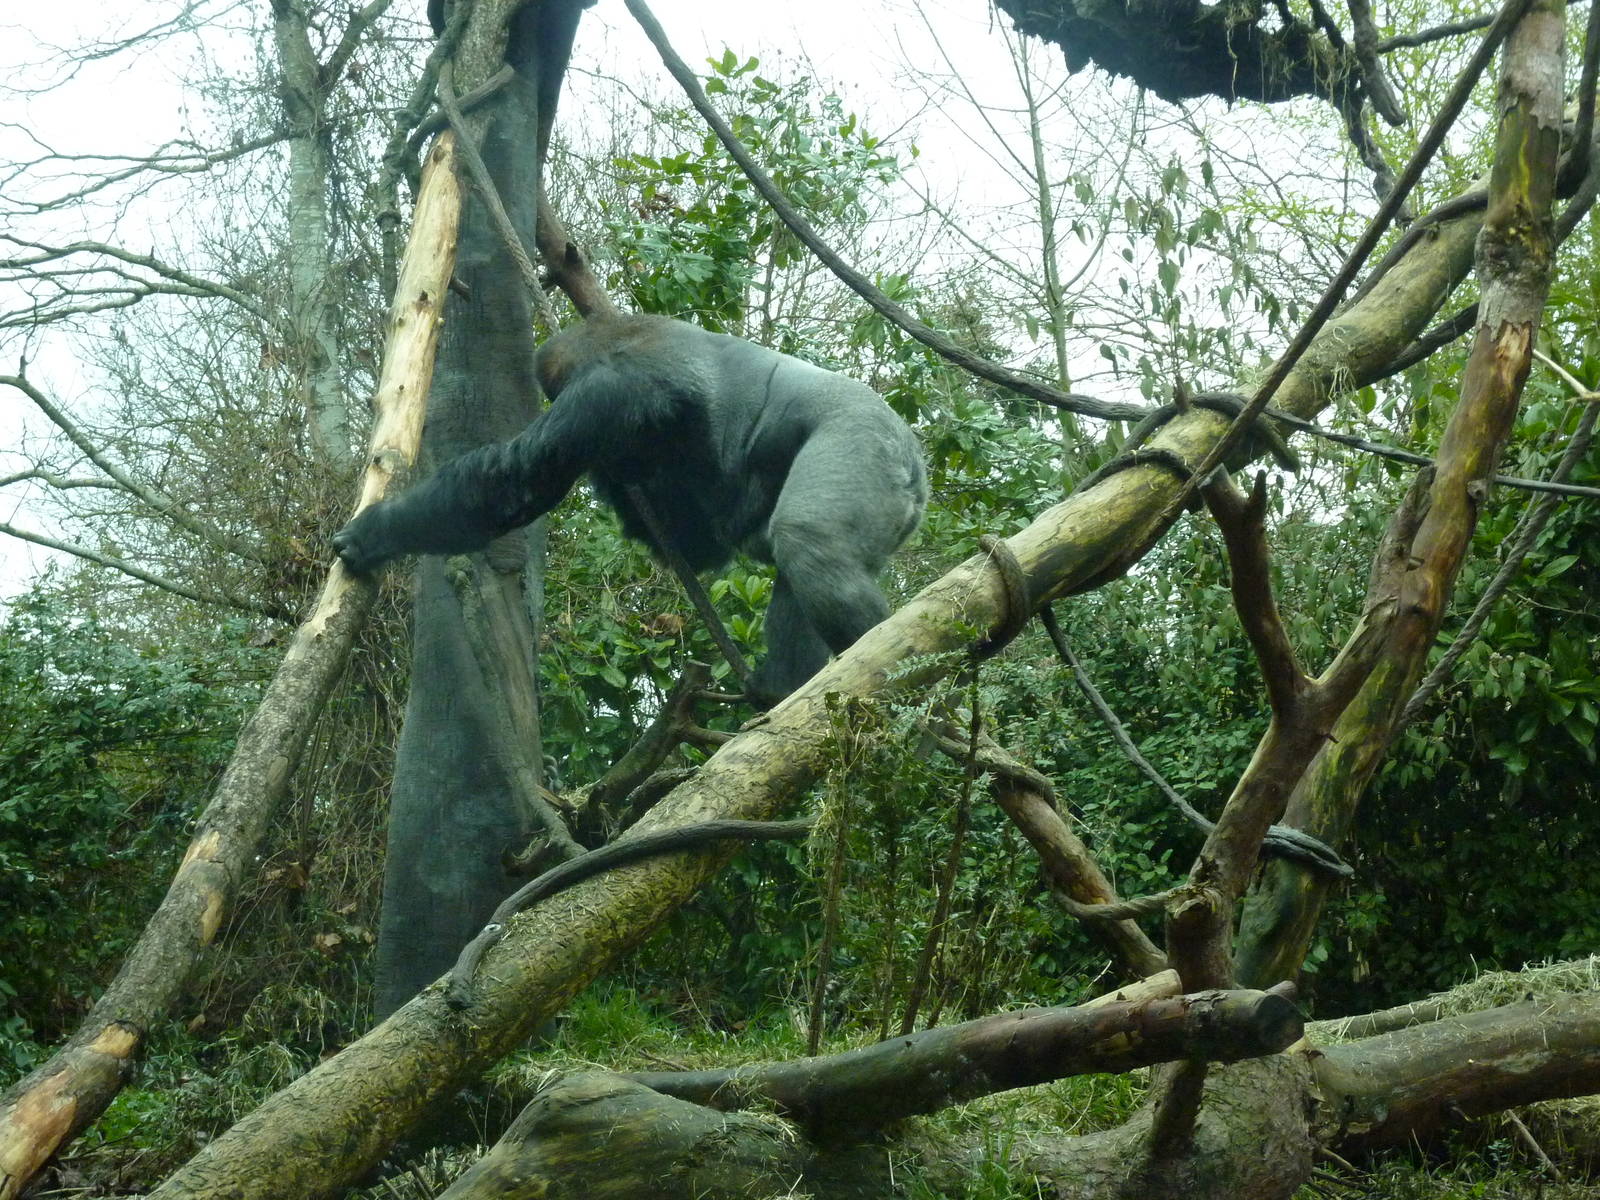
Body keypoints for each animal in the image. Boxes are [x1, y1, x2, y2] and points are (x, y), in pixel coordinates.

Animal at [334, 312, 928, 701]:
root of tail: (917, 474)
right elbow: (700, 538)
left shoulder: (608, 396)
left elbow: (510, 484)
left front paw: (376, 532)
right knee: (801, 562)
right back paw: (784, 687)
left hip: (864, 441)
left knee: (809, 542)